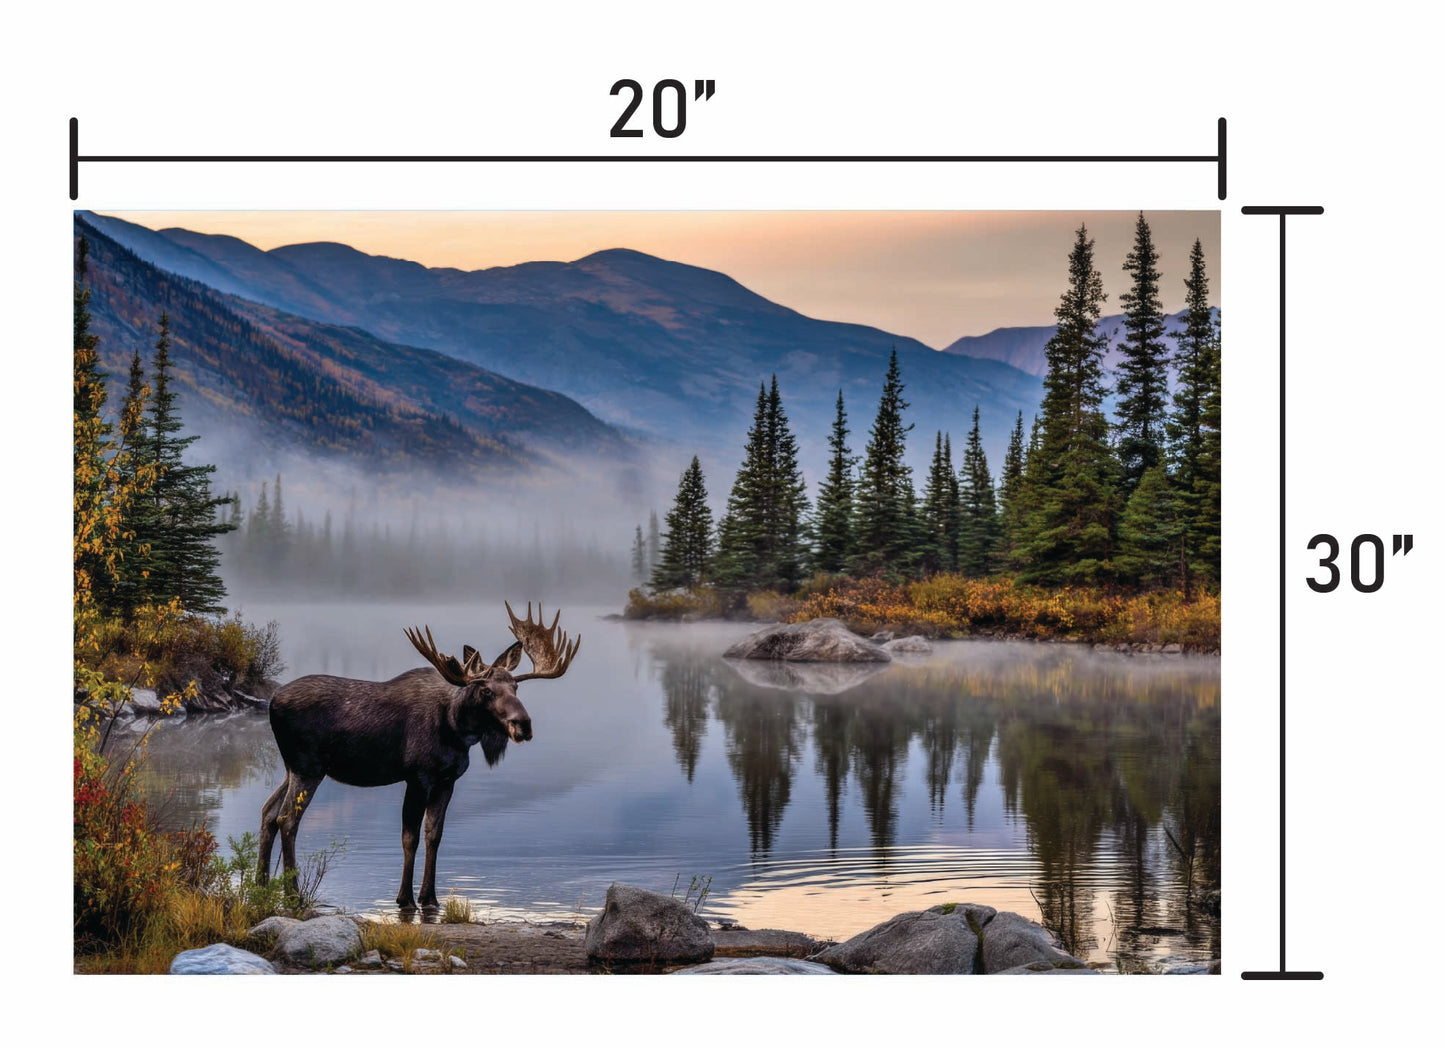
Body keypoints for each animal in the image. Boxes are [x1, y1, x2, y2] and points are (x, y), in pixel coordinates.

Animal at [257, 601, 580, 910]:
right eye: (486, 690)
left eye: (515, 686)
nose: (522, 724)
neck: (456, 728)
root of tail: (272, 702)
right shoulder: (418, 776)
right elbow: (409, 837)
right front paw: (405, 898)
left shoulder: (447, 780)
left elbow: (433, 835)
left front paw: (430, 898)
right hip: (308, 767)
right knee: (287, 819)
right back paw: (292, 896)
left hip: (292, 768)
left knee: (268, 812)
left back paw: (260, 886)